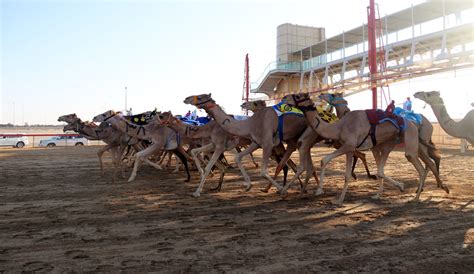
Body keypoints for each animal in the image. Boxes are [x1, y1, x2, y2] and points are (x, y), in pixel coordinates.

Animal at [282, 93, 448, 204]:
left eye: (298, 95)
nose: (284, 97)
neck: (338, 126)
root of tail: (414, 123)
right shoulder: (349, 148)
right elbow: (346, 174)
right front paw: (339, 199)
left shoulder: (349, 145)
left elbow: (325, 160)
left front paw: (320, 191)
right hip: (395, 144)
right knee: (393, 167)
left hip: (410, 142)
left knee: (419, 165)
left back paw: (416, 196)